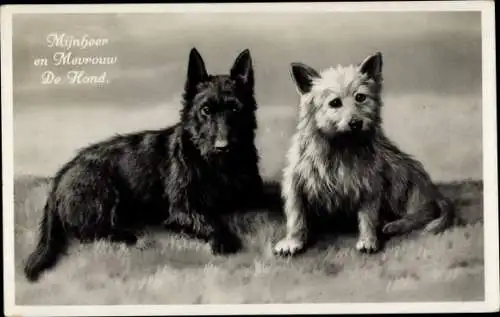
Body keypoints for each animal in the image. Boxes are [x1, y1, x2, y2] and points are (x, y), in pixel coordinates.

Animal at [24, 48, 262, 280]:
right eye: (205, 110)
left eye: (235, 109)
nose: (223, 147)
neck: (219, 168)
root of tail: (61, 177)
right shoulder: (183, 209)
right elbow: (210, 220)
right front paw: (224, 240)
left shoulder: (251, 193)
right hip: (103, 191)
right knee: (88, 231)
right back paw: (126, 236)